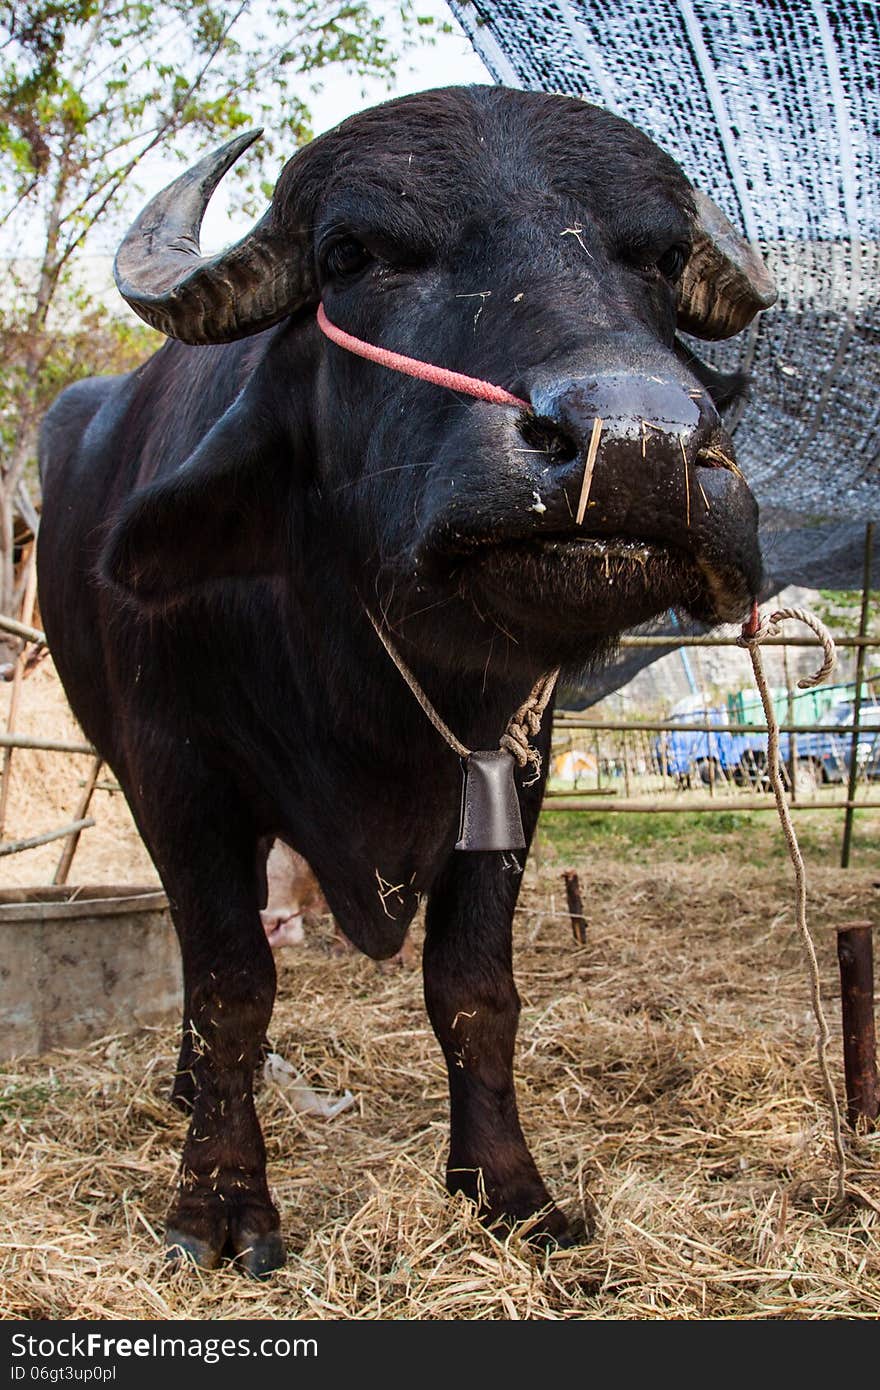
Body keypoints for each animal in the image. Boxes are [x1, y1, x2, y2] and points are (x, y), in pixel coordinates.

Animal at [39, 86, 767, 1273]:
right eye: (352, 253)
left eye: (662, 259)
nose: (638, 442)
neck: (362, 670)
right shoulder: (174, 770)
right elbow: (232, 982)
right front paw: (220, 1204)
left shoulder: (515, 771)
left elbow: (474, 988)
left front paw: (510, 1188)